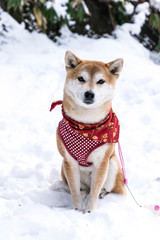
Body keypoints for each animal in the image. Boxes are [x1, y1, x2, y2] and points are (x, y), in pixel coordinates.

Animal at [53, 50, 125, 212]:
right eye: (81, 78)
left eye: (101, 81)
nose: (89, 94)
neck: (87, 125)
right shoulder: (69, 162)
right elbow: (74, 190)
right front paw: (76, 209)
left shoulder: (102, 162)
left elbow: (95, 190)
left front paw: (90, 211)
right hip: (63, 167)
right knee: (83, 189)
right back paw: (81, 193)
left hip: (113, 164)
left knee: (105, 189)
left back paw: (102, 194)